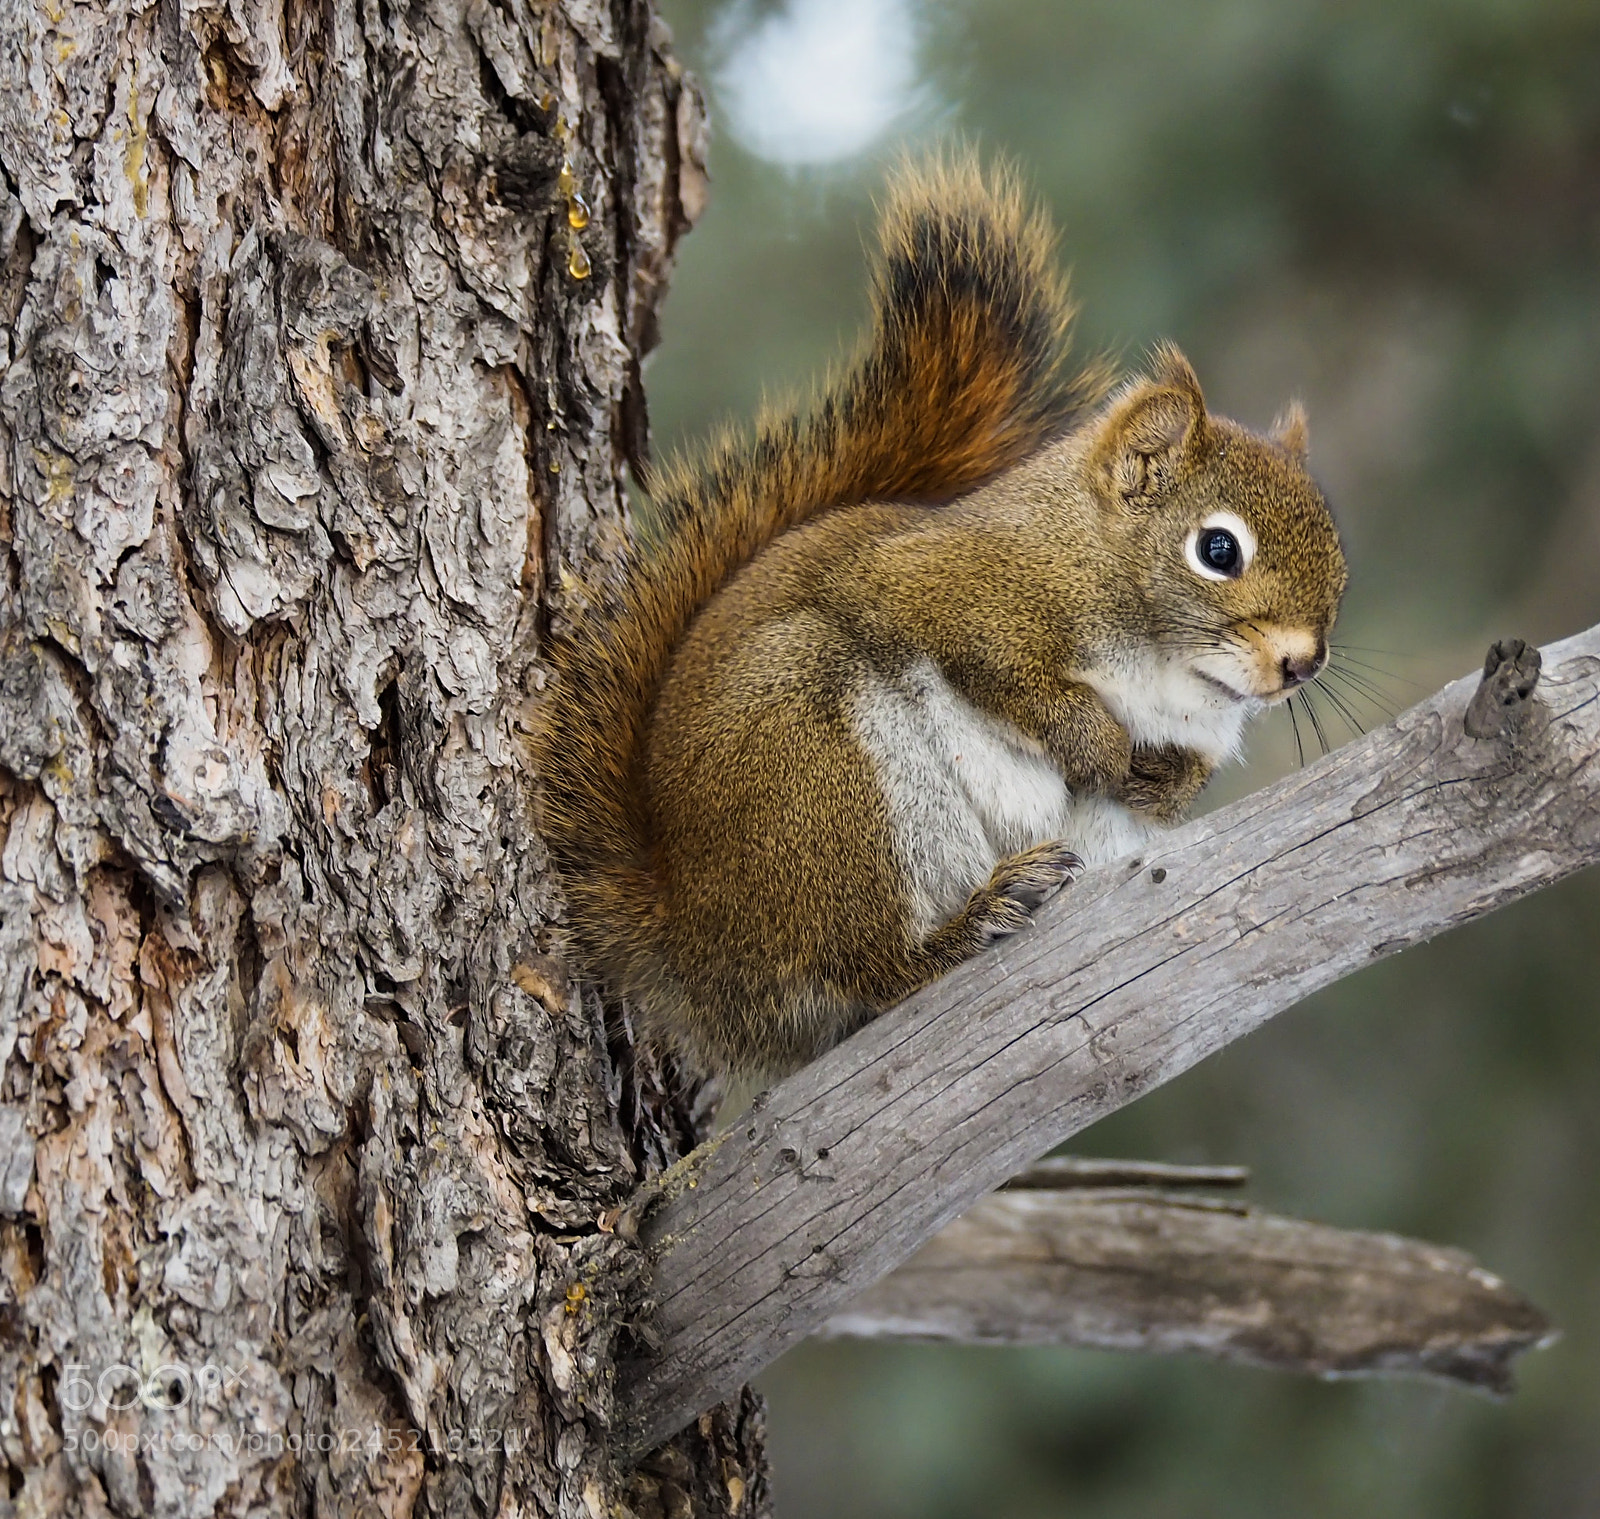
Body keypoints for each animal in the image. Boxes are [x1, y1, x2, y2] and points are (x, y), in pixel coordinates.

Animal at [533, 156, 1347, 1081]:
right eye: (1218, 548)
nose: (1304, 663)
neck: (1168, 672)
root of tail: (697, 946)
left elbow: (1176, 784)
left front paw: (1160, 777)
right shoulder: (944, 587)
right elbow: (1011, 676)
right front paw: (1096, 744)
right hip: (815, 775)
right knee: (871, 966)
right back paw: (965, 926)